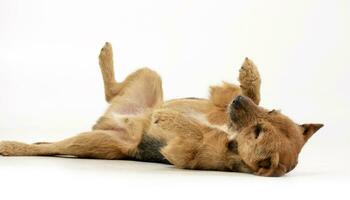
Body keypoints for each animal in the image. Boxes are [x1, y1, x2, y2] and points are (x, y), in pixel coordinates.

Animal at [0, 42, 322, 177]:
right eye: (271, 113)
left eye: (257, 133)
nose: (238, 105)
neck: (229, 133)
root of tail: (112, 120)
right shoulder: (221, 104)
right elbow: (249, 91)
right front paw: (249, 75)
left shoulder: (184, 155)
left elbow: (194, 135)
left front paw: (168, 118)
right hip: (150, 76)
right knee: (110, 90)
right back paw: (106, 55)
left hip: (94, 143)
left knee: (46, 147)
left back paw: (10, 146)